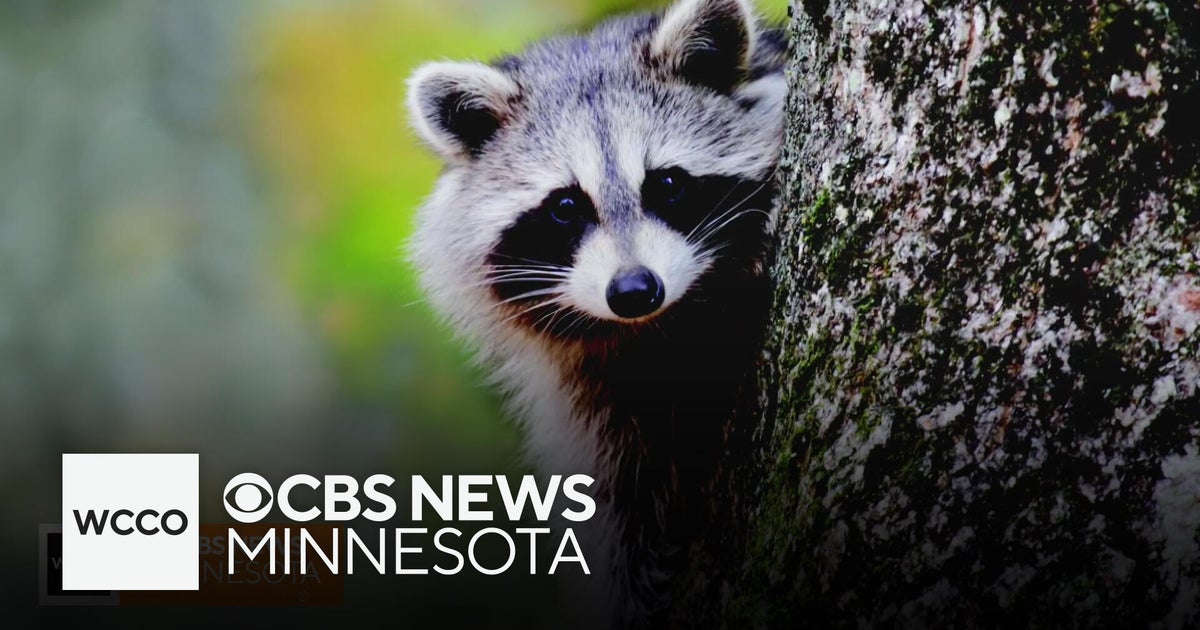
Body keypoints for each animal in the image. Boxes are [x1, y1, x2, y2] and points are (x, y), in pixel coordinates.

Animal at [406, 0, 785, 624]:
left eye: (669, 183)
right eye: (565, 206)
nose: (634, 290)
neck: (664, 328)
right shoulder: (587, 395)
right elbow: (611, 509)